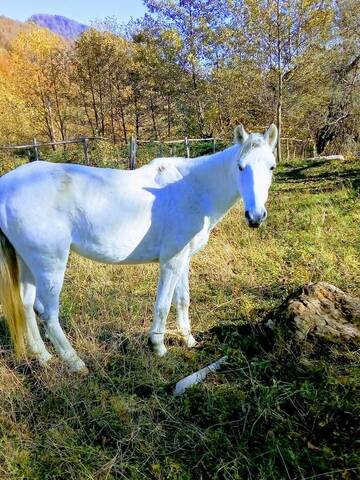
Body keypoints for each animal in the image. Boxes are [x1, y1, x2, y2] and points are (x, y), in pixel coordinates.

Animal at [0, 124, 278, 372]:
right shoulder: (171, 261)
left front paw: (189, 341)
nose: (255, 216)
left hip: (28, 262)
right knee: (47, 312)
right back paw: (75, 363)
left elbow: (182, 300)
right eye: (240, 166)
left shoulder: (183, 259)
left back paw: (43, 357)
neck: (192, 188)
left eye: (271, 167)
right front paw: (158, 347)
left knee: (26, 305)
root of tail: (6, 187)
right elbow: (163, 303)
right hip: (50, 263)